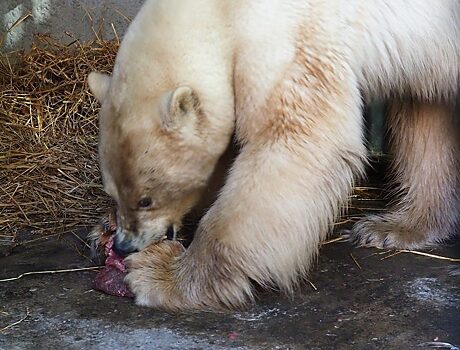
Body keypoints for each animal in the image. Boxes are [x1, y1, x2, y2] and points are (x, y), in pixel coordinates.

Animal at [87, 0, 460, 310]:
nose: (124, 246)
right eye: (113, 192)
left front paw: (161, 274)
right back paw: (396, 226)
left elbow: (294, 141)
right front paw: (105, 226)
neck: (220, 10)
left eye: (146, 199)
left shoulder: (285, 37)